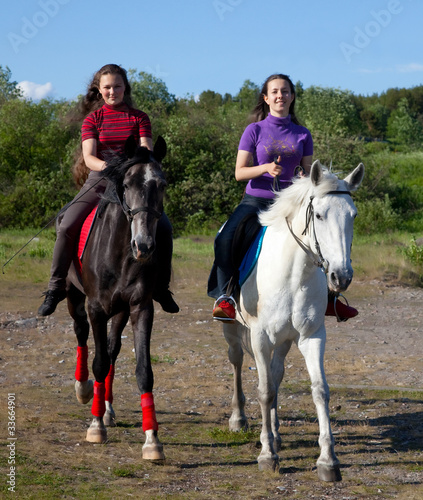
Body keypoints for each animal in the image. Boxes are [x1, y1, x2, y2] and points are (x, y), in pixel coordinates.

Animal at [64, 135, 167, 458]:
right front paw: (96, 427)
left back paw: (107, 408)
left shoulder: (139, 308)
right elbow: (98, 362)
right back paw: (83, 389)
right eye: (127, 184)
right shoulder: (96, 307)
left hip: (119, 310)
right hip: (74, 297)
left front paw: (152, 440)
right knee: (82, 335)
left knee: (111, 350)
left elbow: (143, 370)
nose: (144, 245)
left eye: (162, 184)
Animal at [222, 160, 364, 480]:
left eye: (353, 215)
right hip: (232, 328)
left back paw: (275, 433)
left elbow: (319, 391)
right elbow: (264, 391)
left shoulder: (311, 336)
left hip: (285, 339)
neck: (293, 275)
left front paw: (328, 460)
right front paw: (267, 455)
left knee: (276, 374)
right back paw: (239, 419)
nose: (341, 277)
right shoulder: (260, 336)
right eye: (319, 215)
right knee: (237, 361)